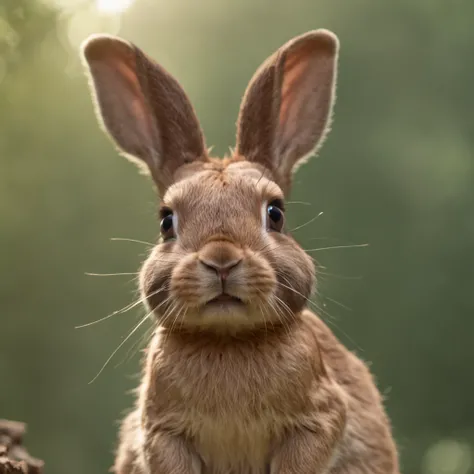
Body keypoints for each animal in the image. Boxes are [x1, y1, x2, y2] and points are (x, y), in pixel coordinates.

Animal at [81, 29, 400, 474]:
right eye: (166, 221)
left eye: (276, 213)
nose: (221, 260)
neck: (228, 339)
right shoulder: (162, 434)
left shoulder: (317, 422)